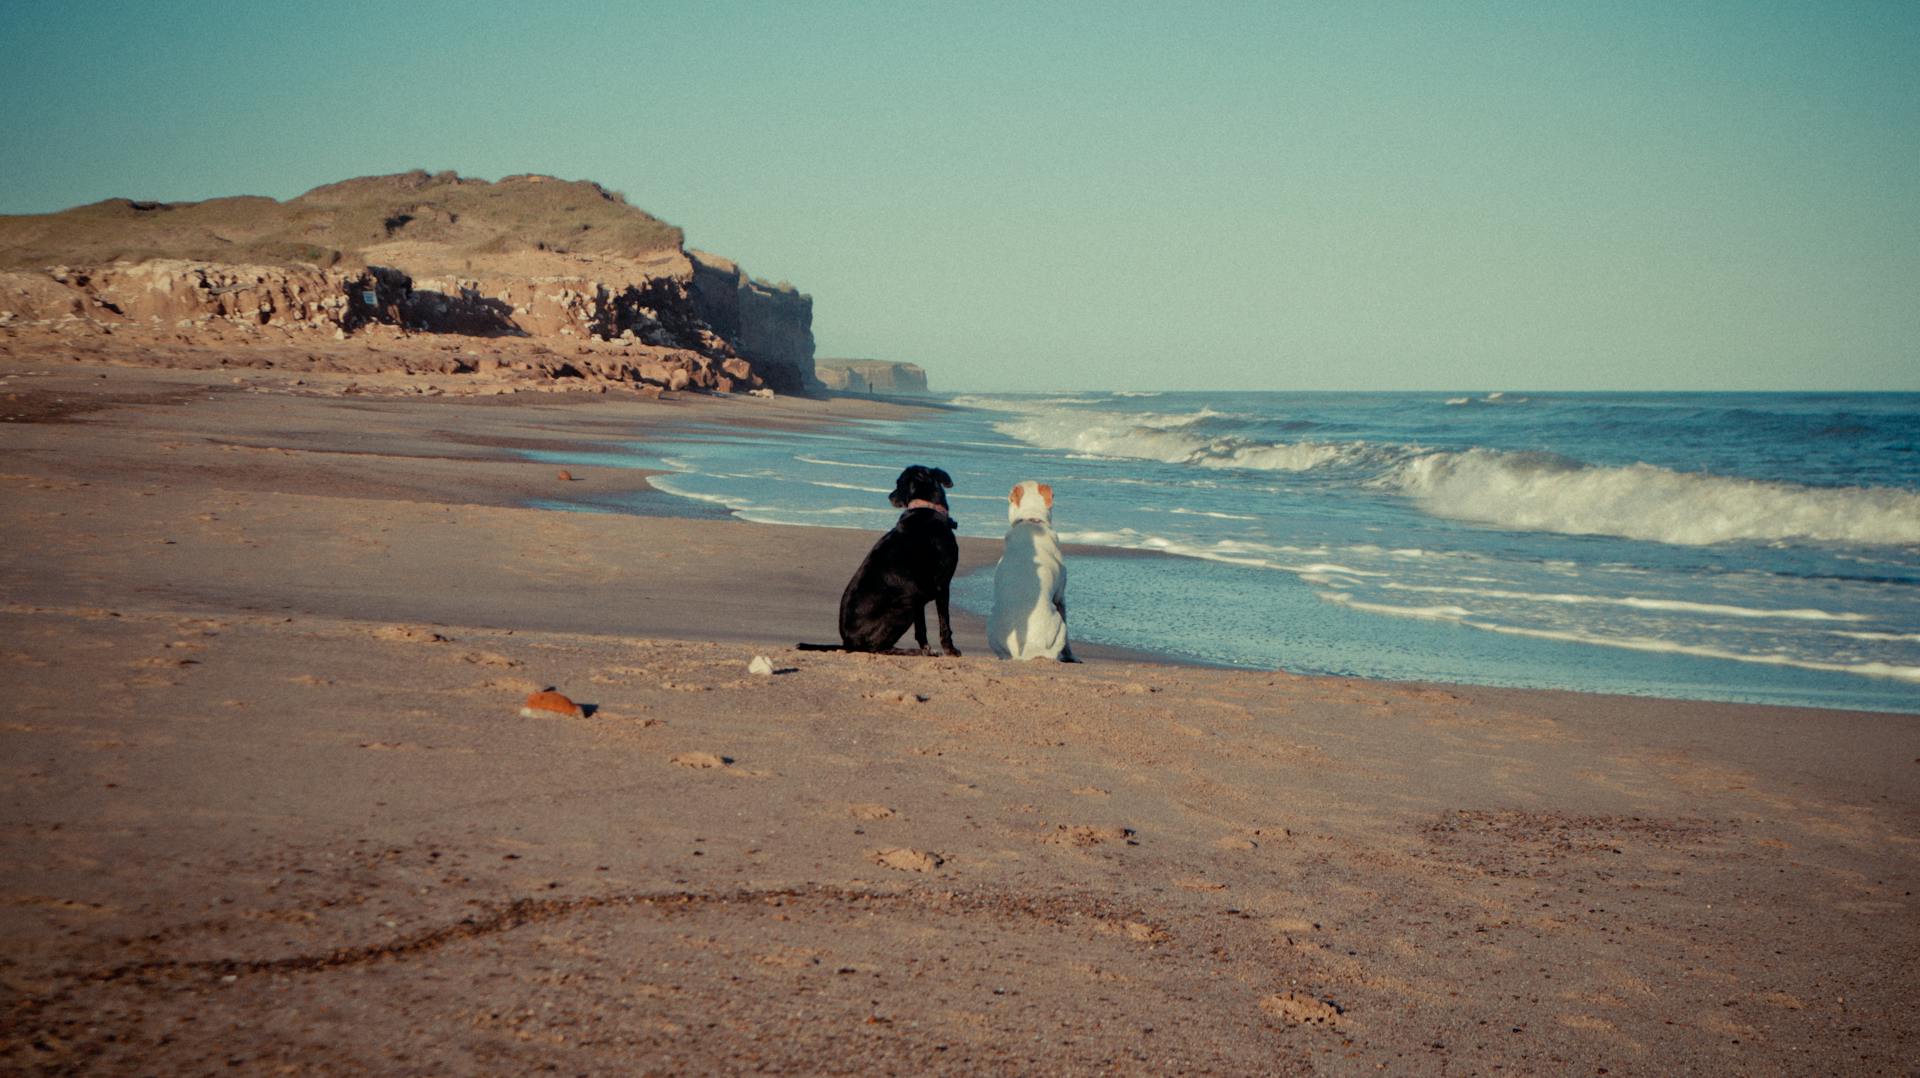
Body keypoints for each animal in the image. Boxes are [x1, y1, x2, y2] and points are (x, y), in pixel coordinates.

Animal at [798, 463, 960, 657]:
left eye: (897, 483)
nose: (889, 497)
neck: (925, 508)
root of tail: (848, 642)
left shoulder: (920, 593)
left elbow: (921, 629)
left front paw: (927, 649)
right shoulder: (942, 585)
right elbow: (945, 623)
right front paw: (950, 649)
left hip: (911, 600)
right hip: (904, 606)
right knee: (877, 648)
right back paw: (910, 651)